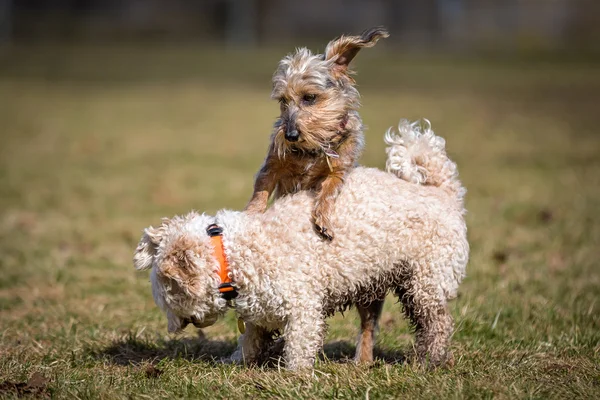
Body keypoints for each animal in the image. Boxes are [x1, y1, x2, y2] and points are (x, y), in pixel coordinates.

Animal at [135, 120, 468, 370]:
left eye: (168, 298)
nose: (173, 330)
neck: (232, 253)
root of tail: (443, 192)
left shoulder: (303, 306)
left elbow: (299, 343)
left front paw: (294, 375)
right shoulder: (260, 311)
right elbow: (251, 338)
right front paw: (237, 361)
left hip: (426, 282)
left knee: (438, 324)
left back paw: (428, 361)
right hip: (372, 283)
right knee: (371, 326)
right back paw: (363, 362)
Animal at [244, 28, 390, 241]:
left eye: (309, 97)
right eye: (283, 101)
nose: (290, 136)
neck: (313, 148)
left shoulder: (339, 170)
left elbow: (328, 191)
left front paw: (324, 220)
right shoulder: (272, 164)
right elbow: (260, 190)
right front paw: (250, 214)